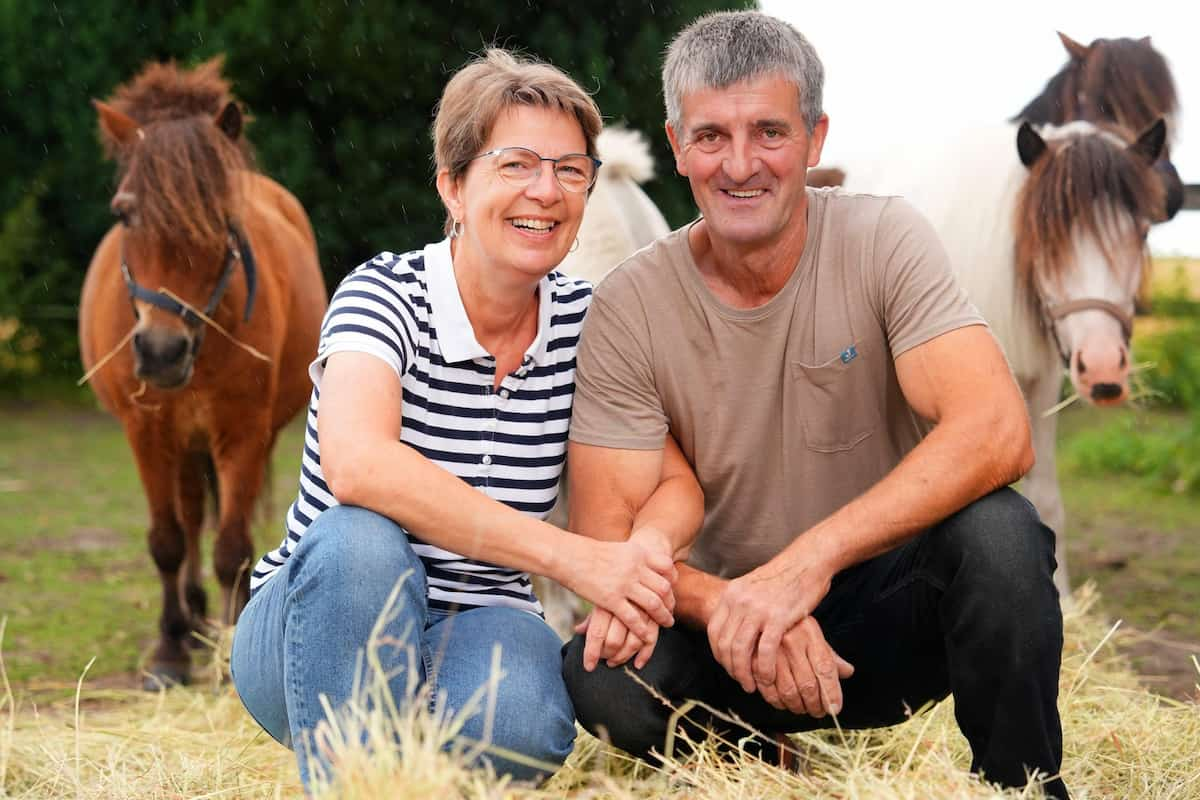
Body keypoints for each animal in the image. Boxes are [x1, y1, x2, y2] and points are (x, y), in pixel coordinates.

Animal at [78, 59, 328, 690]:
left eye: (220, 220)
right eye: (124, 214)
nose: (163, 351)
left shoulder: (242, 431)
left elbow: (232, 545)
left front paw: (233, 642)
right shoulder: (146, 430)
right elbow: (167, 540)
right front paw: (170, 650)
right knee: (190, 515)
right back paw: (190, 622)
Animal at [840, 118, 1166, 599]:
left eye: (1141, 232)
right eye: (1046, 237)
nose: (1105, 370)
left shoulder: (1041, 384)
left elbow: (1046, 498)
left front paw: (1064, 597)